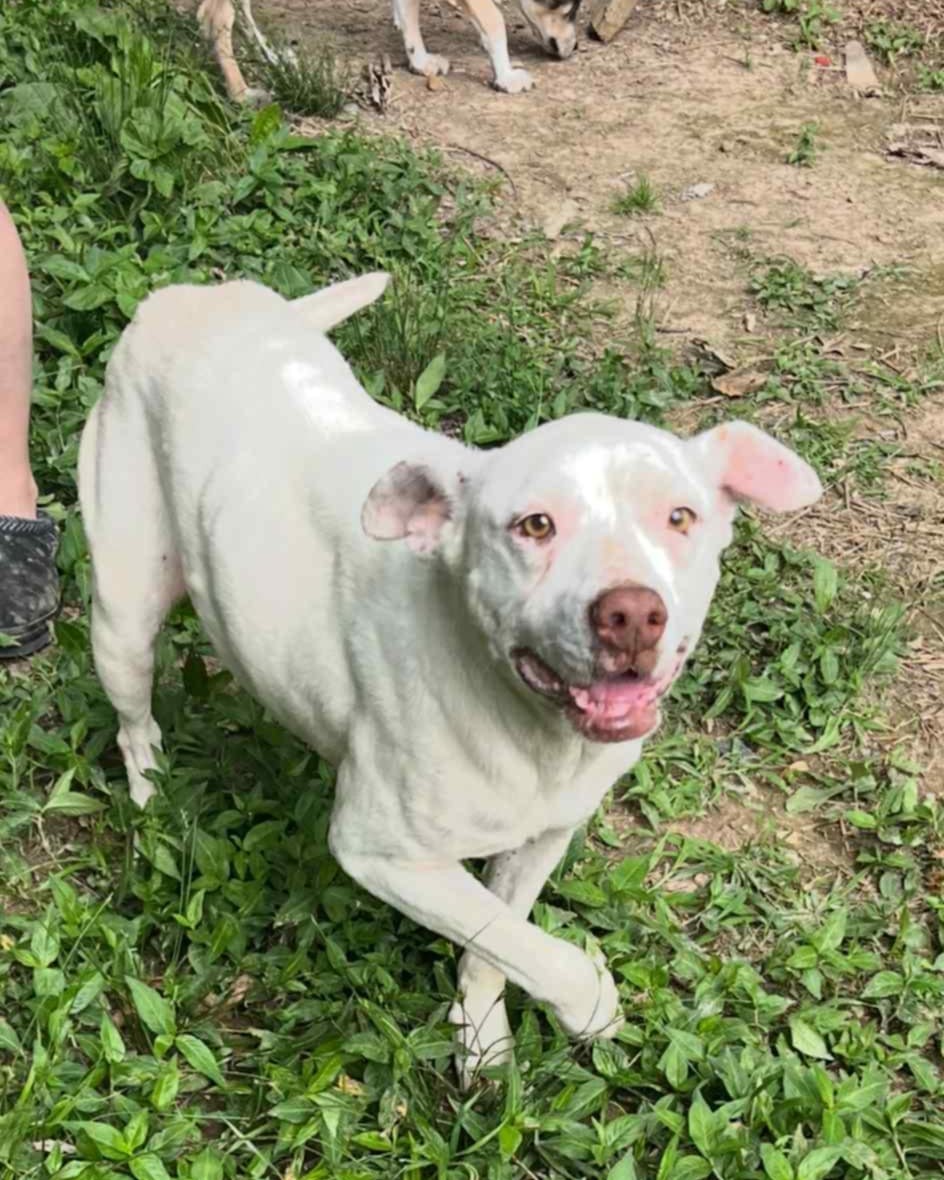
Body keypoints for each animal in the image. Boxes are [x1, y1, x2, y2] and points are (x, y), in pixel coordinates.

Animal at [78, 273, 822, 1085]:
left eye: (680, 517)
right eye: (534, 525)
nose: (631, 614)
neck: (536, 734)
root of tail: (187, 296)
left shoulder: (544, 835)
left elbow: (502, 936)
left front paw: (481, 1027)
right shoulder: (379, 850)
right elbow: (538, 950)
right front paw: (592, 1003)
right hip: (122, 617)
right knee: (134, 722)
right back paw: (151, 797)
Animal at [195, 0, 580, 101]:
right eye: (571, 7)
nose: (574, 48)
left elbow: (407, 13)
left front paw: (419, 60)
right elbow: (495, 22)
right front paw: (506, 76)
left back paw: (273, 58)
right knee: (215, 16)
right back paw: (241, 93)